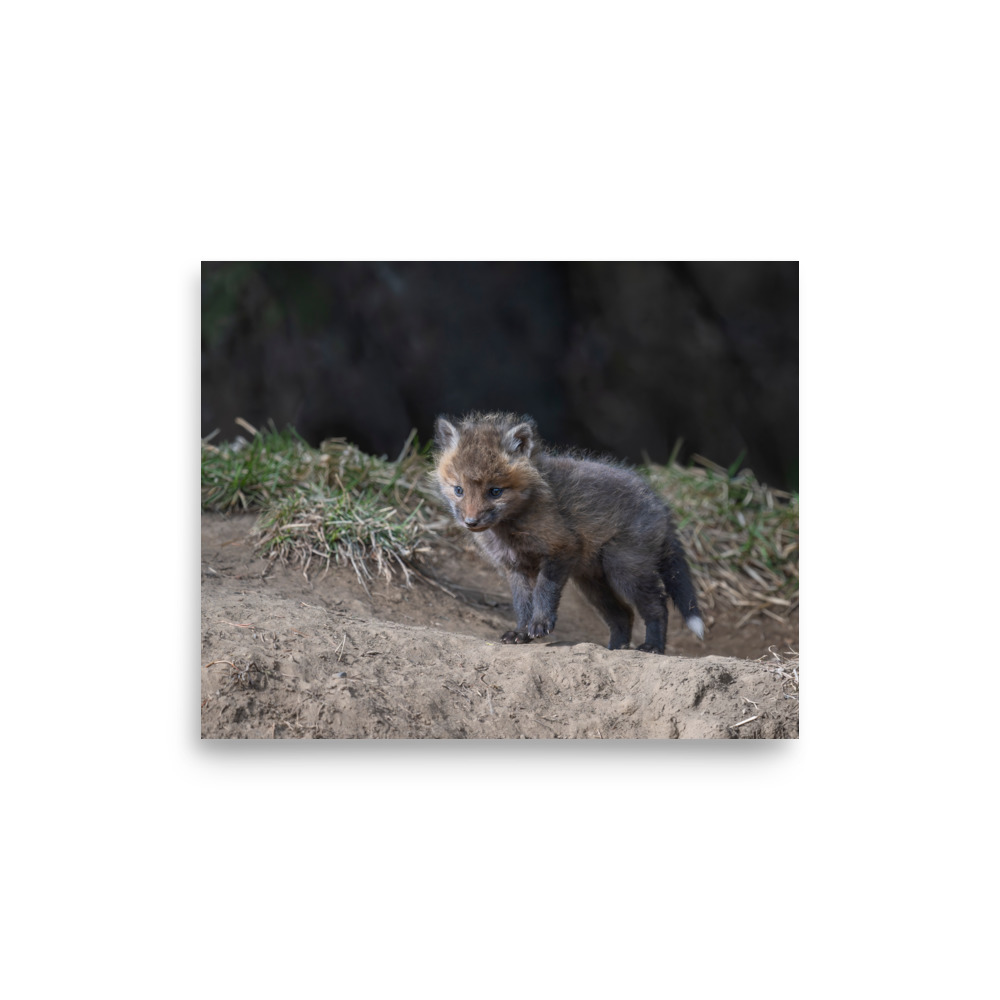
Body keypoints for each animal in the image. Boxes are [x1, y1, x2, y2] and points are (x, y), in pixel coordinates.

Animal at [433, 411, 704, 654]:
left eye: (495, 491)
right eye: (459, 490)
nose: (471, 522)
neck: (511, 530)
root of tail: (660, 503)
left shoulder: (561, 549)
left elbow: (544, 591)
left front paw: (540, 624)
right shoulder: (515, 567)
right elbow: (522, 604)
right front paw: (521, 632)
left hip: (624, 569)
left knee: (658, 606)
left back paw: (653, 646)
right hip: (592, 583)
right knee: (623, 615)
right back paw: (615, 649)